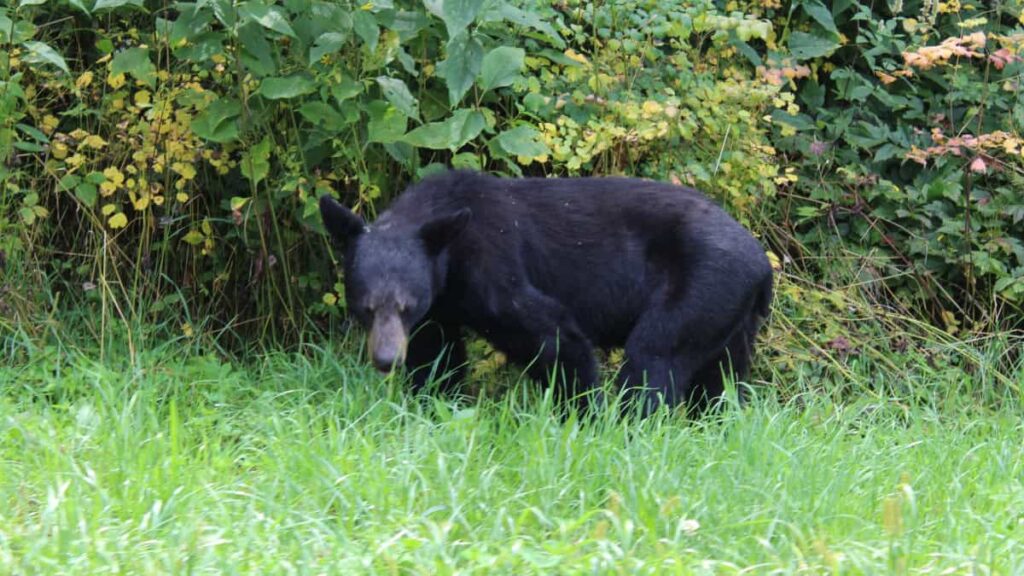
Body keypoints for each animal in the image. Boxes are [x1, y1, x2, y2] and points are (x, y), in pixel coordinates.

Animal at [317, 167, 770, 412]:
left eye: (404, 305)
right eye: (366, 306)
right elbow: (436, 357)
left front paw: (585, 415)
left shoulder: (493, 267)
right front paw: (434, 406)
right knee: (719, 380)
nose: (386, 359)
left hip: (701, 284)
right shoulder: (441, 306)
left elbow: (553, 334)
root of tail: (762, 263)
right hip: (728, 312)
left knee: (654, 357)